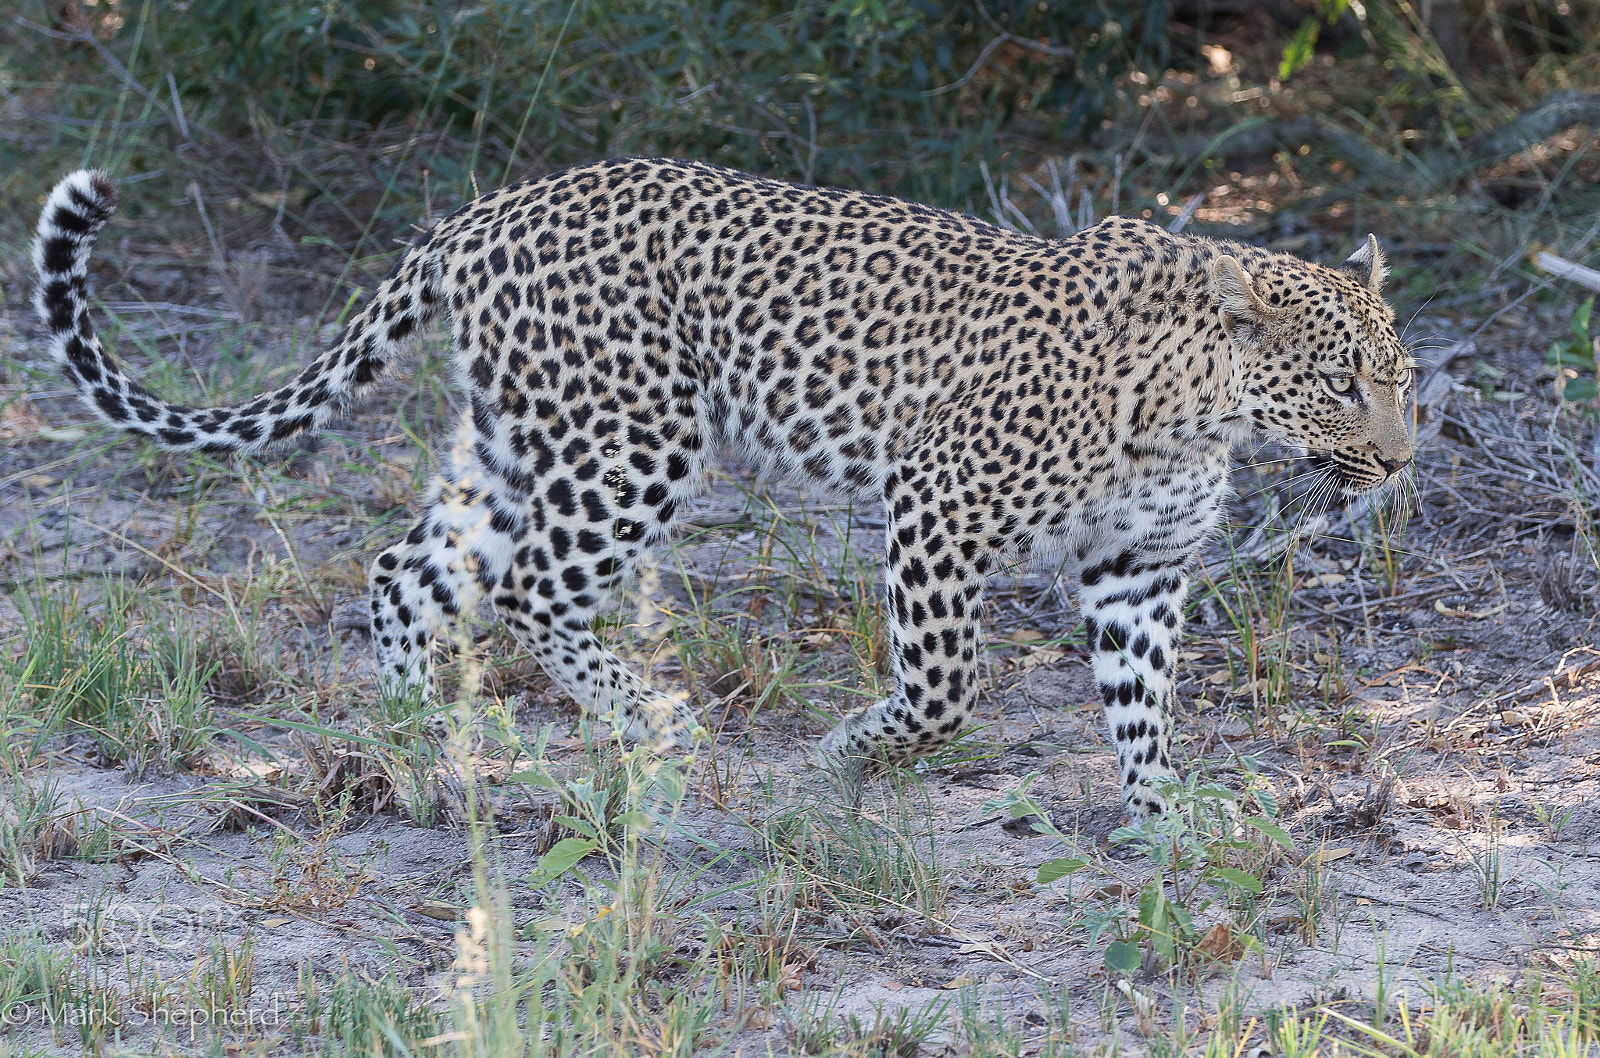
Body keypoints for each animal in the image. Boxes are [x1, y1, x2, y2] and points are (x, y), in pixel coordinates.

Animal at [32, 159, 1414, 819]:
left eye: (1399, 379)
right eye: (1339, 383)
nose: (1401, 460)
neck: (1200, 406)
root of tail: (481, 213)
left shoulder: (1139, 567)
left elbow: (1141, 704)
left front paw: (1164, 816)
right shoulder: (937, 507)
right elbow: (944, 689)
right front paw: (846, 756)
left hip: (515, 443)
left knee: (406, 571)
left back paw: (427, 743)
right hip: (630, 437)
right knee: (533, 590)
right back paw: (650, 717)